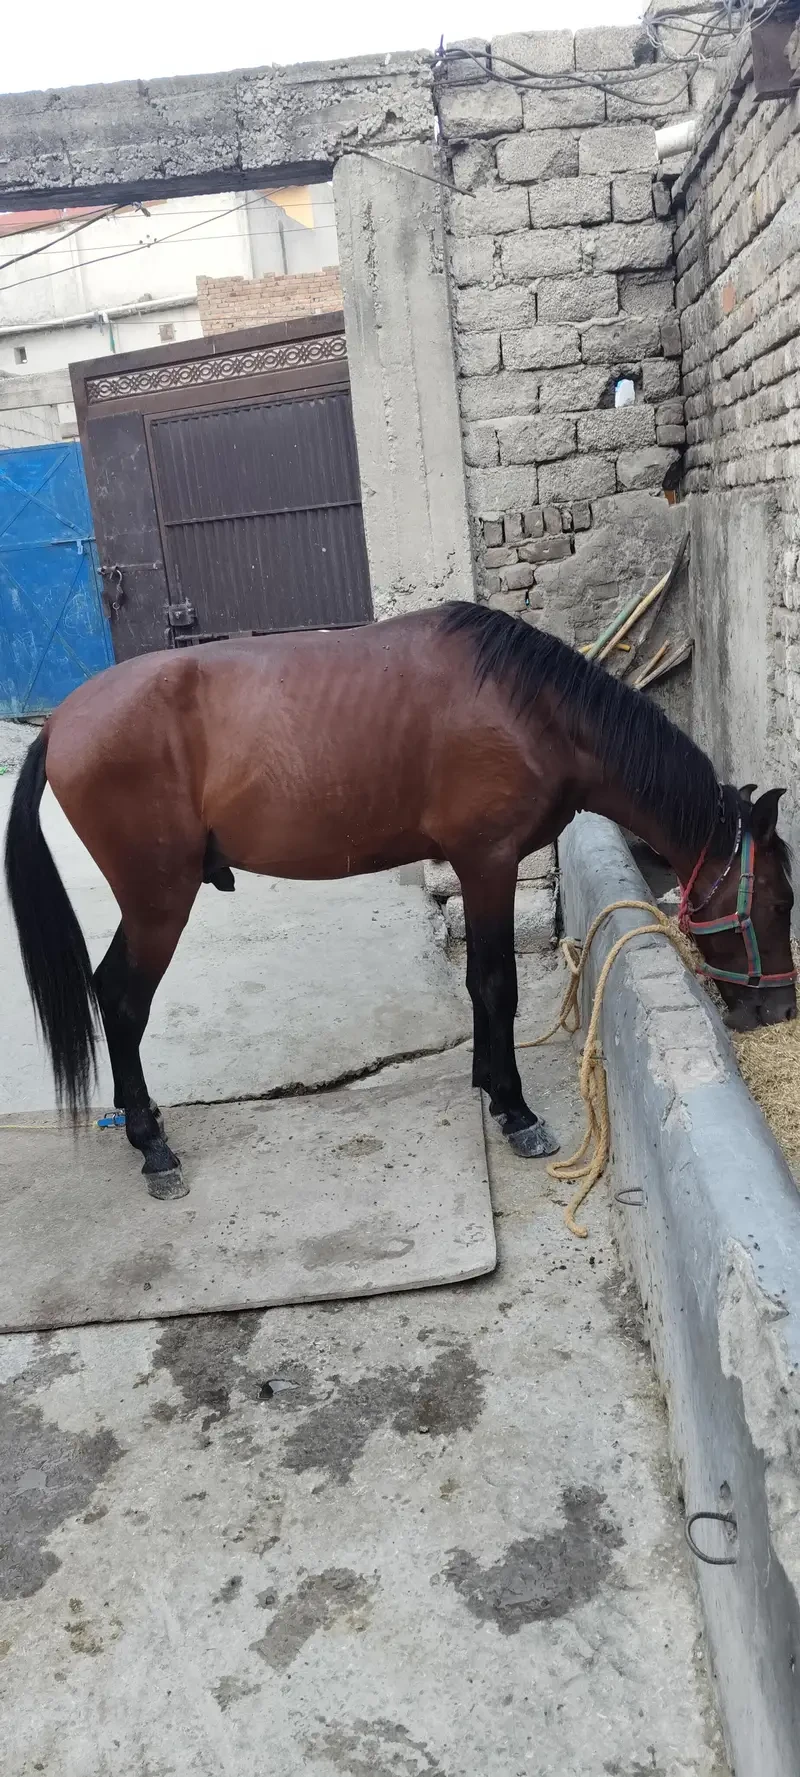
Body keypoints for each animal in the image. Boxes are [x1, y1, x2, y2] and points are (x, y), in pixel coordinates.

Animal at [4, 600, 795, 1199]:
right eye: (780, 901)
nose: (779, 1009)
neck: (531, 707)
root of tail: (62, 722)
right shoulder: (488, 862)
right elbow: (495, 983)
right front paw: (515, 1110)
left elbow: (482, 985)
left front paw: (489, 1086)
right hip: (158, 901)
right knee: (122, 1000)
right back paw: (152, 1147)